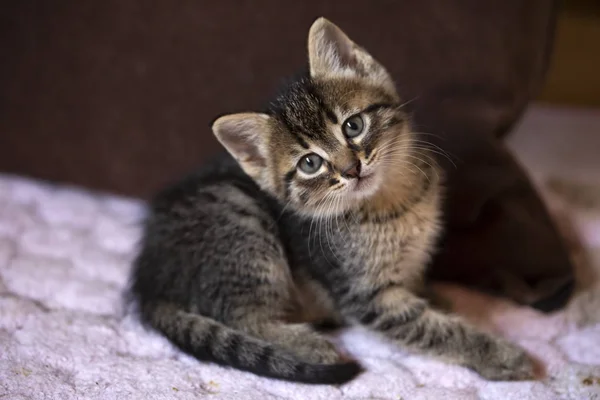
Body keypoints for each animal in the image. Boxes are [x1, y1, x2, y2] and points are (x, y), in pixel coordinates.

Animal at [127, 17, 536, 382]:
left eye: (353, 126)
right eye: (310, 163)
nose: (351, 169)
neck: (395, 203)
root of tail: (148, 278)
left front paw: (435, 296)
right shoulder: (366, 296)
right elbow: (432, 330)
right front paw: (497, 354)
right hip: (238, 215)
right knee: (242, 316)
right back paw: (307, 343)